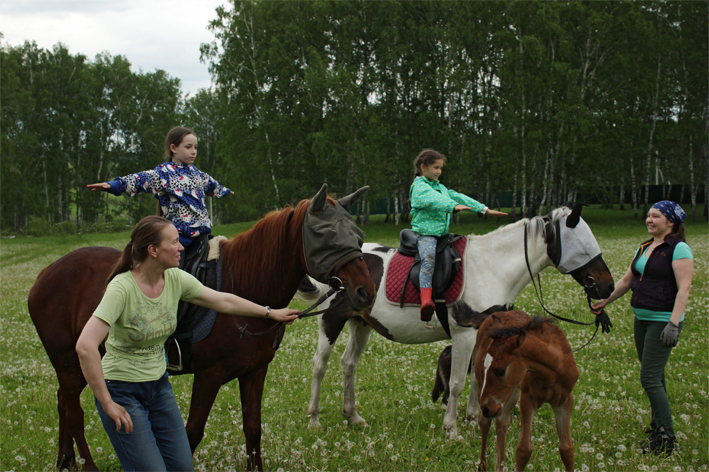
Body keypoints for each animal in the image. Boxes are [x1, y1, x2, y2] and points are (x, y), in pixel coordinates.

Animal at [27, 184, 376, 472]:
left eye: (358, 236)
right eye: (327, 237)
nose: (366, 293)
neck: (246, 285)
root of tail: (46, 272)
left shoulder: (254, 372)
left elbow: (253, 429)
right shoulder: (209, 375)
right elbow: (191, 433)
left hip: (83, 363)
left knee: (63, 401)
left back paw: (65, 460)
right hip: (68, 361)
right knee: (74, 412)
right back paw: (84, 465)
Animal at [298, 205, 612, 436]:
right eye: (583, 245)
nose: (608, 287)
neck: (491, 268)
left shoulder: (484, 333)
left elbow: (477, 377)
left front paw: (473, 419)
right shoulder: (464, 334)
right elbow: (458, 381)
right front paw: (451, 429)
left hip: (361, 323)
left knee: (348, 364)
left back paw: (353, 416)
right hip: (330, 321)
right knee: (319, 366)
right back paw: (313, 419)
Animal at [472, 310, 580, 472]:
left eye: (500, 371)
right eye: (485, 367)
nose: (486, 407)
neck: (553, 371)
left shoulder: (565, 401)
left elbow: (567, 449)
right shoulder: (528, 399)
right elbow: (524, 450)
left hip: (510, 393)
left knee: (502, 421)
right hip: (487, 391)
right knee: (484, 421)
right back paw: (482, 466)